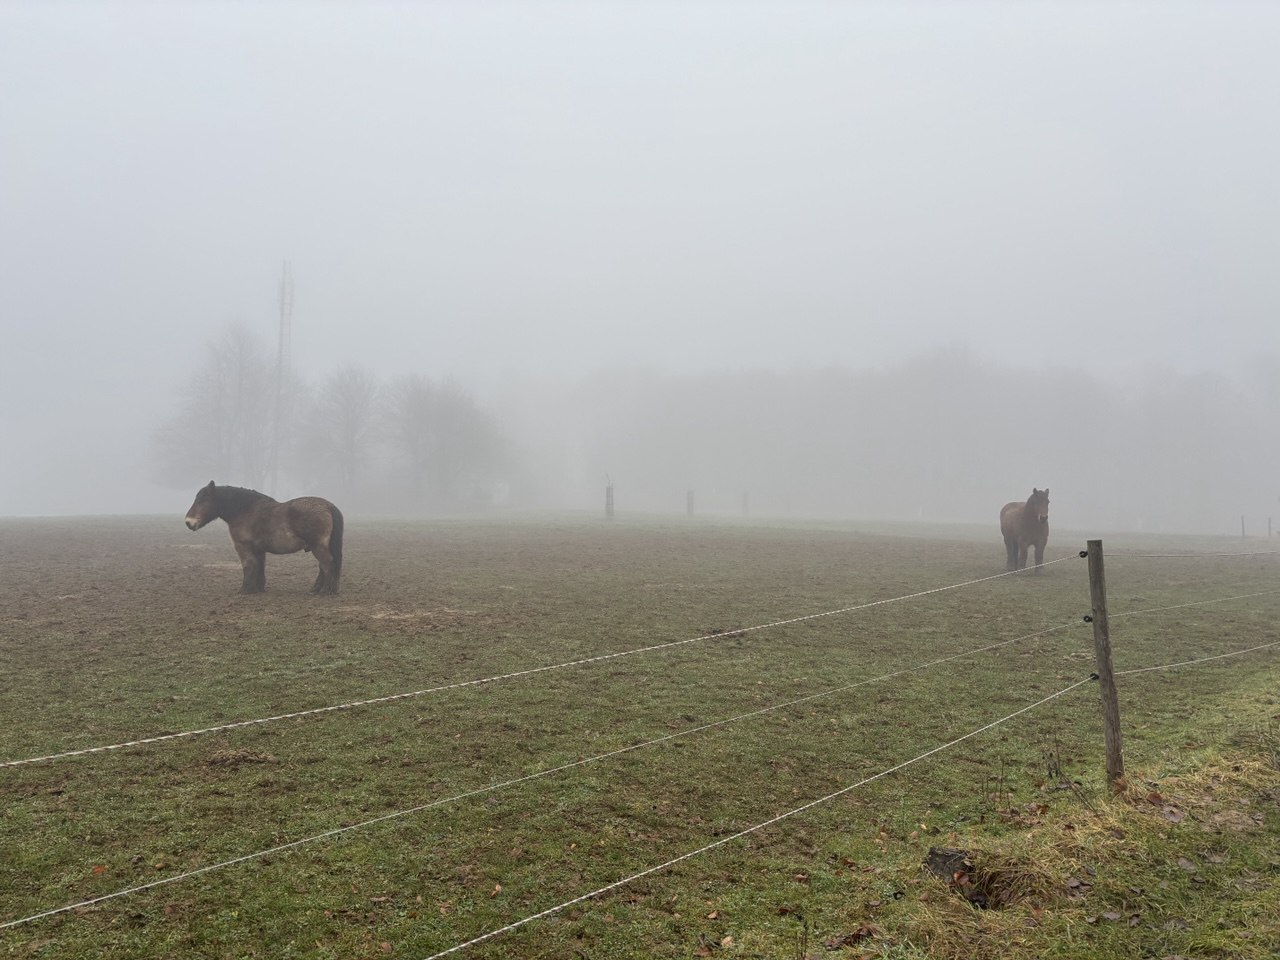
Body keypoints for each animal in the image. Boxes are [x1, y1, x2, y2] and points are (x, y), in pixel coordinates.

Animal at [184, 481, 344, 595]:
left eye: (203, 500)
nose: (188, 522)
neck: (245, 511)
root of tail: (327, 506)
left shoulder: (243, 547)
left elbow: (248, 565)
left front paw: (244, 590)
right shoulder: (259, 550)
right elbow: (259, 567)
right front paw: (257, 589)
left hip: (318, 546)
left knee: (327, 564)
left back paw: (325, 590)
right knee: (323, 566)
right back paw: (317, 589)